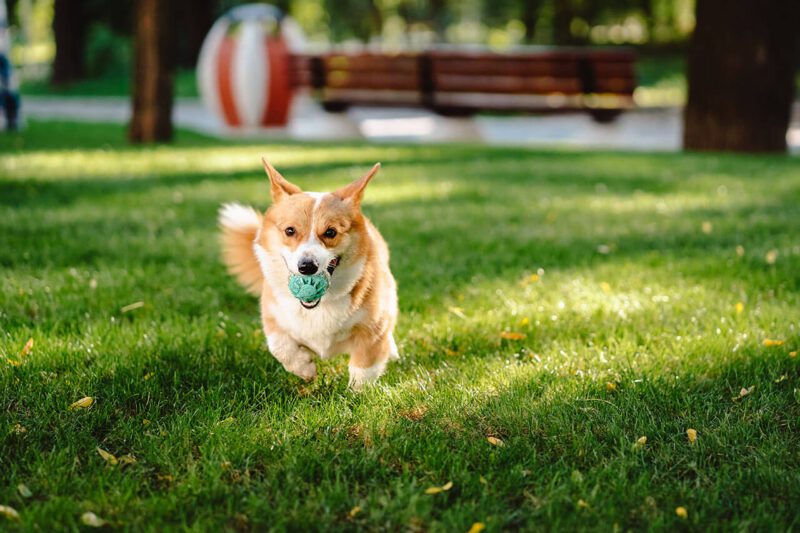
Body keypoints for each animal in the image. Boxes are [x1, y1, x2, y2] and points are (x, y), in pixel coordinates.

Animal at [219, 158, 396, 386]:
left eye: (330, 232)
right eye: (289, 231)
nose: (307, 267)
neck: (320, 306)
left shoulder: (373, 327)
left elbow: (364, 367)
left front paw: (358, 391)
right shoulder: (273, 316)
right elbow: (279, 345)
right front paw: (304, 368)